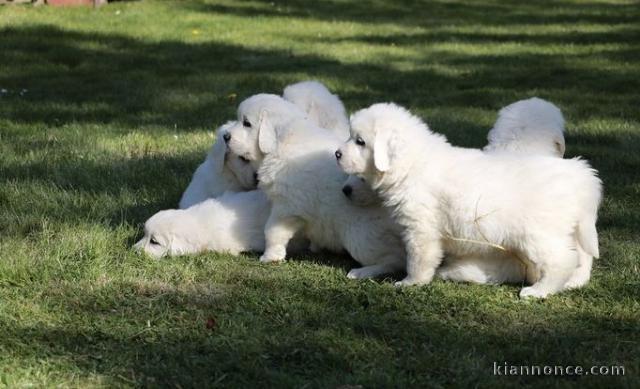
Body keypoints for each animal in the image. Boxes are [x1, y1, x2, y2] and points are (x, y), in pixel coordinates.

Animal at [255, 116, 404, 278]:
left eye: (246, 123)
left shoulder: (286, 208)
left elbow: (273, 232)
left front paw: (269, 257)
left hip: (361, 238)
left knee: (393, 260)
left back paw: (361, 272)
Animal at [338, 103, 604, 298]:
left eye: (360, 141)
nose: (337, 154)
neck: (412, 163)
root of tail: (577, 173)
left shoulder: (420, 228)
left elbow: (419, 258)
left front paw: (410, 283)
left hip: (539, 235)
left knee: (562, 260)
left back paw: (538, 291)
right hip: (571, 230)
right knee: (581, 258)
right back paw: (572, 283)